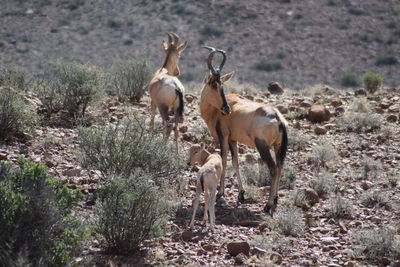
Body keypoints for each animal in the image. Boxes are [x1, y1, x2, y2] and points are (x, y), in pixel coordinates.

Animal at [199, 47, 288, 216]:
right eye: (214, 84)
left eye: (221, 84)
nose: (226, 109)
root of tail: (278, 118)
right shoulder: (233, 140)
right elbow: (236, 163)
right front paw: (241, 194)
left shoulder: (223, 137)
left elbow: (224, 161)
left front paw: (220, 194)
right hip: (277, 147)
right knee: (280, 167)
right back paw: (275, 201)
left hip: (262, 146)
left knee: (273, 169)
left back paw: (267, 206)